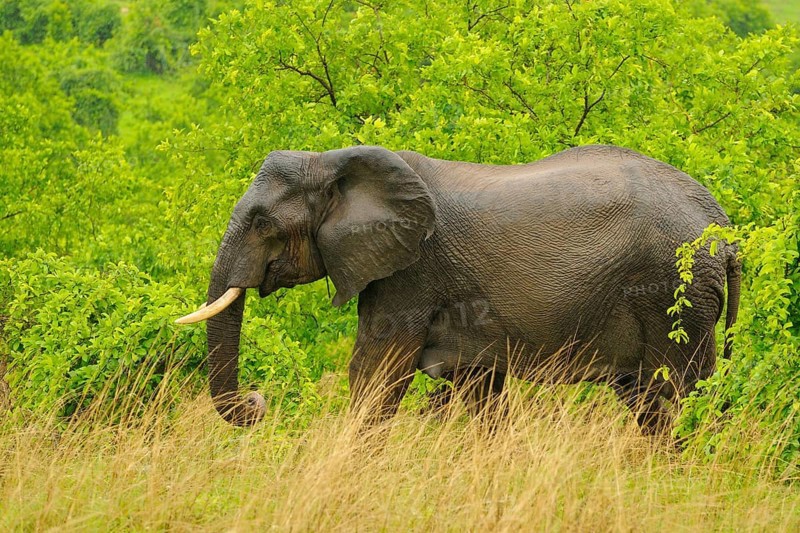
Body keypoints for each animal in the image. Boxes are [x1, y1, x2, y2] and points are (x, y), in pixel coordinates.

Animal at [176, 144, 740, 434]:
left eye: (262, 223)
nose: (258, 401)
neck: (334, 161)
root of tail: (726, 232)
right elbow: (477, 387)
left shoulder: (411, 271)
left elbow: (376, 370)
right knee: (651, 399)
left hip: (672, 293)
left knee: (677, 389)